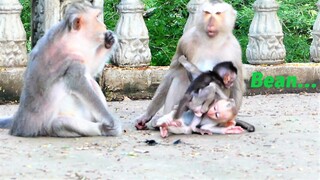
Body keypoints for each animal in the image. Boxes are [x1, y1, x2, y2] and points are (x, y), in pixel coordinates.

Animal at [0, 1, 121, 136]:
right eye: (96, 18)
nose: (104, 26)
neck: (72, 39)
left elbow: (91, 67)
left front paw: (109, 40)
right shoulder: (71, 63)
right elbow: (78, 82)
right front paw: (110, 120)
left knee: (91, 81)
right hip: (46, 127)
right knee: (60, 124)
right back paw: (103, 129)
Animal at [135, 0, 255, 132]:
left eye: (218, 13)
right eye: (207, 13)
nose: (211, 24)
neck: (212, 40)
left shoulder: (235, 48)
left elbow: (237, 85)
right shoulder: (185, 41)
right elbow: (172, 72)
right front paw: (146, 116)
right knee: (180, 75)